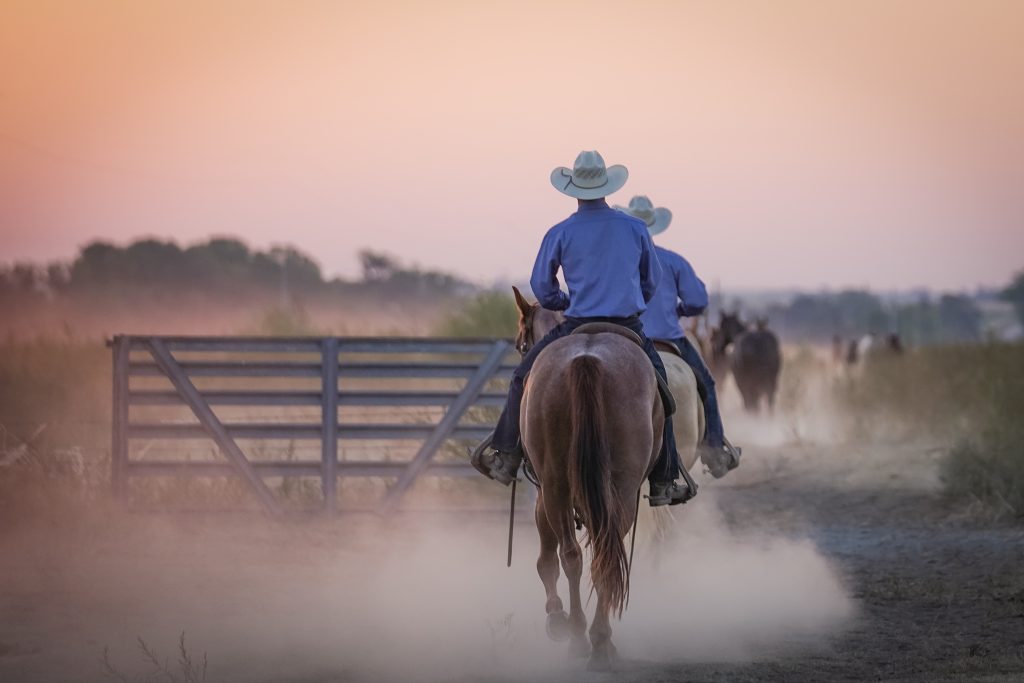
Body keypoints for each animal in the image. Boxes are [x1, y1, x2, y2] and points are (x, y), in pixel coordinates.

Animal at [511, 287, 703, 668]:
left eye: (521, 343)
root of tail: (588, 361)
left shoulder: (543, 492)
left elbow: (545, 560)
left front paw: (555, 618)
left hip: (561, 486)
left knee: (578, 555)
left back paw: (582, 637)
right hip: (619, 489)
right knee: (601, 554)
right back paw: (595, 639)